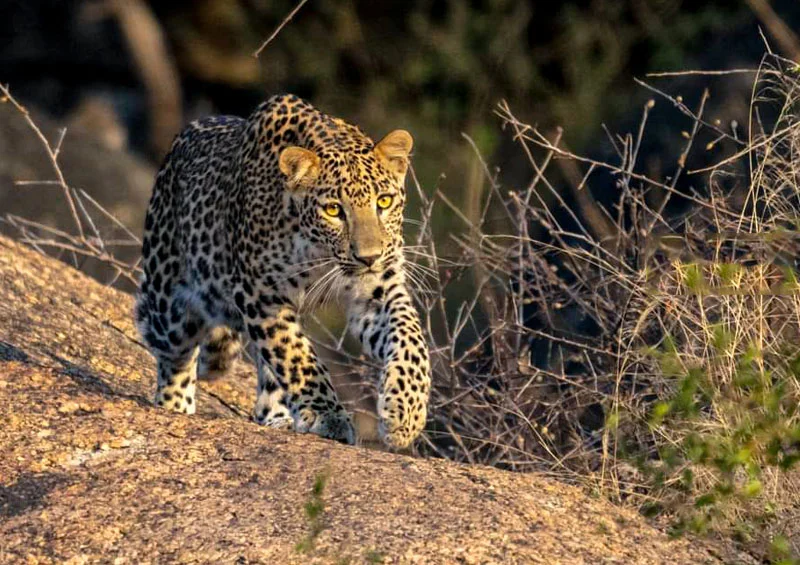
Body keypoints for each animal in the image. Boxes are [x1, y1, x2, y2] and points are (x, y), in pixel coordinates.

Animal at [134, 92, 432, 448]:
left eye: (384, 202)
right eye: (333, 210)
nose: (368, 258)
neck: (318, 253)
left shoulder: (379, 289)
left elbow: (410, 338)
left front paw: (406, 413)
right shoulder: (261, 294)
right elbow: (296, 356)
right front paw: (328, 416)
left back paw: (278, 418)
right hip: (171, 309)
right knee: (172, 356)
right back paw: (176, 407)